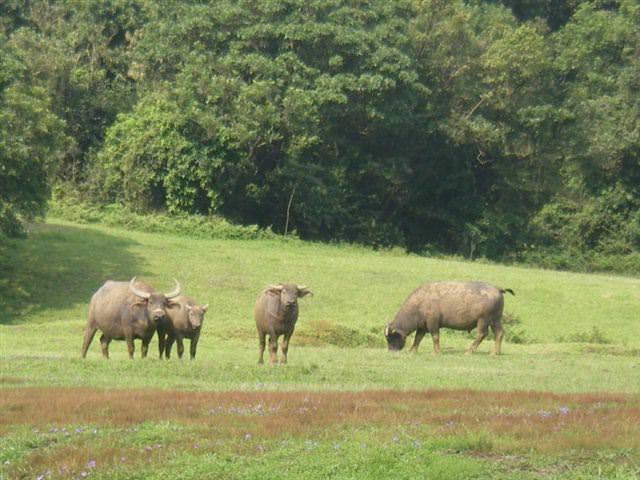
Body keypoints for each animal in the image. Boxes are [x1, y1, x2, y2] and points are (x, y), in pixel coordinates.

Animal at [384, 280, 516, 354]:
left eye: (390, 338)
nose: (391, 351)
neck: (419, 303)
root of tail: (498, 288)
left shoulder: (433, 323)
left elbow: (435, 337)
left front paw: (436, 352)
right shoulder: (422, 326)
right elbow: (418, 338)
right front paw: (412, 351)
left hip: (483, 320)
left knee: (481, 334)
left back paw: (469, 352)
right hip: (496, 320)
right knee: (499, 333)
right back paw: (495, 353)